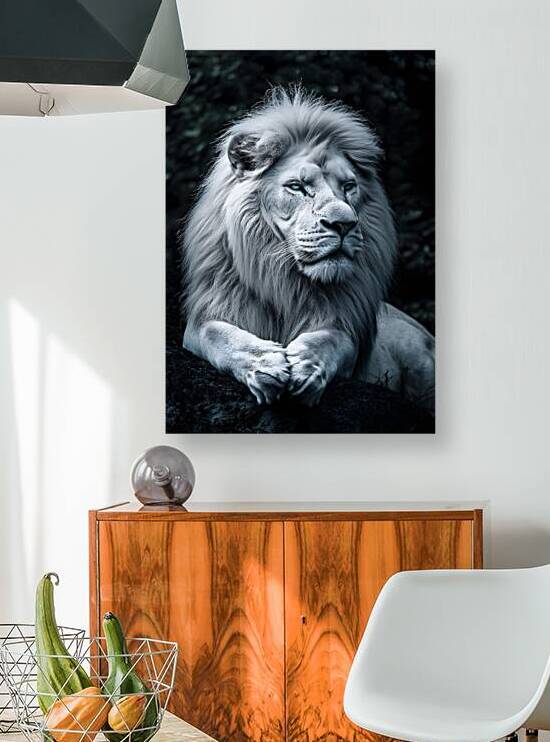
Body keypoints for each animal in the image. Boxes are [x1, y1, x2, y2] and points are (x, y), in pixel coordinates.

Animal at [180, 87, 435, 412]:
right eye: (297, 187)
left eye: (348, 186)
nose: (344, 224)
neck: (286, 278)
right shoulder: (202, 321)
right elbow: (221, 336)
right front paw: (265, 365)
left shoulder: (348, 330)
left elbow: (331, 339)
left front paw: (306, 367)